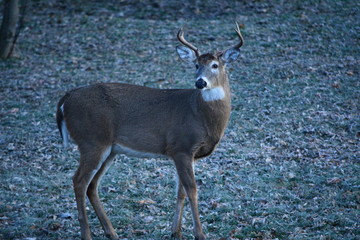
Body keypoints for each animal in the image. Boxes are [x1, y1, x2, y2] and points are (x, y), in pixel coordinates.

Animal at [56, 23, 245, 240]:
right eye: (196, 65)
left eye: (215, 65)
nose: (200, 82)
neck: (200, 116)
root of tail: (66, 98)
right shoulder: (180, 147)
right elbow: (192, 190)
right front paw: (199, 234)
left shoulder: (190, 154)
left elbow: (181, 191)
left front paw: (175, 232)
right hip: (91, 140)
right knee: (79, 181)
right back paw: (87, 234)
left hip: (109, 149)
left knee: (92, 185)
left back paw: (111, 232)